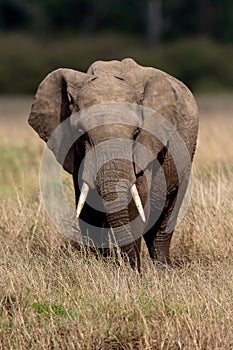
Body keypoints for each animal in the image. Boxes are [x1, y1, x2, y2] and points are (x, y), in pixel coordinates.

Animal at [27, 58, 198, 270]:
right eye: (81, 133)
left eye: (136, 133)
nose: (133, 268)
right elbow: (88, 207)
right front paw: (103, 266)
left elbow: (138, 201)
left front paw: (131, 271)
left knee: (167, 216)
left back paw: (164, 270)